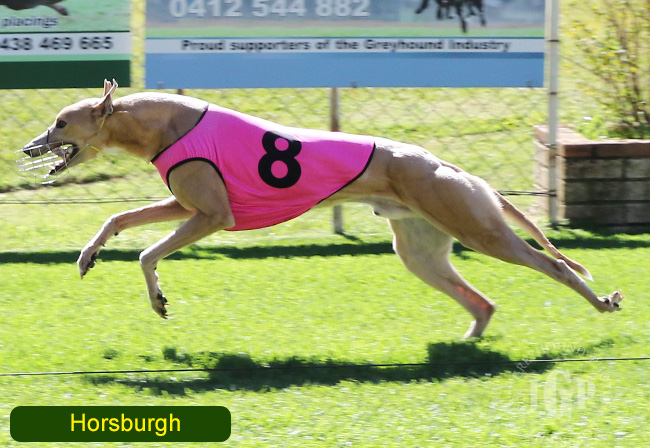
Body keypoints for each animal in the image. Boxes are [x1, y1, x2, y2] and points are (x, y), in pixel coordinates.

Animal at [22, 80, 622, 339]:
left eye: (60, 122)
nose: (28, 148)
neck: (161, 121)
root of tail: (452, 167)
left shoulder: (211, 216)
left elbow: (147, 253)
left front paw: (159, 299)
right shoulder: (181, 201)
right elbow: (117, 219)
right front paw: (87, 257)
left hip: (478, 228)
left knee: (556, 264)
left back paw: (602, 302)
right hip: (421, 252)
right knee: (482, 300)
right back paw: (470, 340)